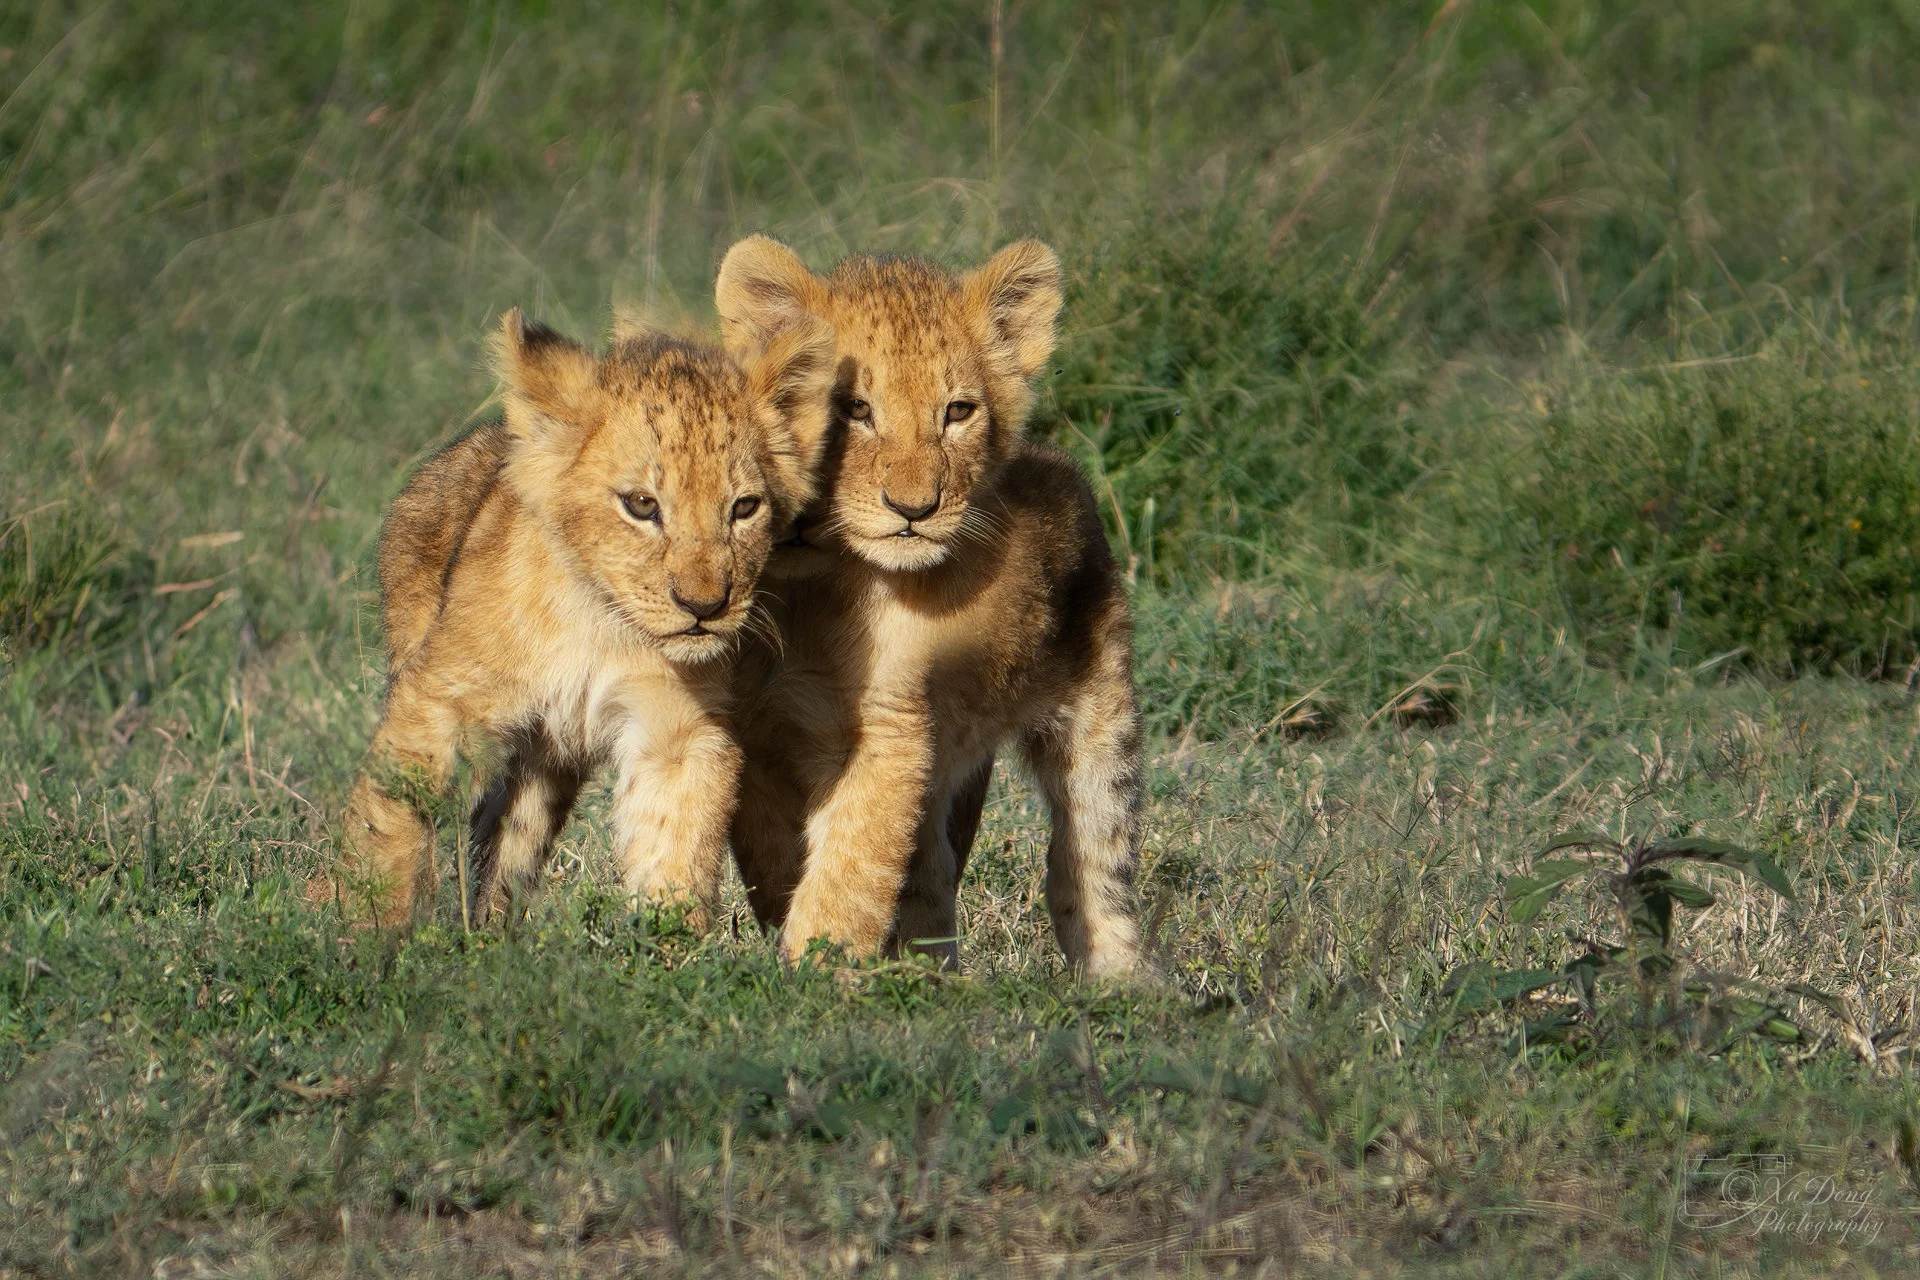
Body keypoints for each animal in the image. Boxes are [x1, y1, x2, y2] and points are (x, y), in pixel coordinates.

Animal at [332, 308, 836, 926]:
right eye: (642, 505)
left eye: (744, 508)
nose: (704, 608)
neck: (603, 625)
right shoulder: (438, 699)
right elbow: (389, 818)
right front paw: (356, 931)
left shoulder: (677, 733)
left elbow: (674, 858)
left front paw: (670, 946)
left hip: (546, 765)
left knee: (510, 834)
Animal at [715, 237, 1143, 976]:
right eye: (854, 409)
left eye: (958, 412)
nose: (913, 509)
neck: (814, 593)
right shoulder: (755, 728)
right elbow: (777, 857)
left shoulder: (891, 729)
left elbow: (850, 868)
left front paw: (810, 974)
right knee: (930, 877)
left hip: (1099, 720)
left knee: (1091, 861)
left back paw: (1124, 983)